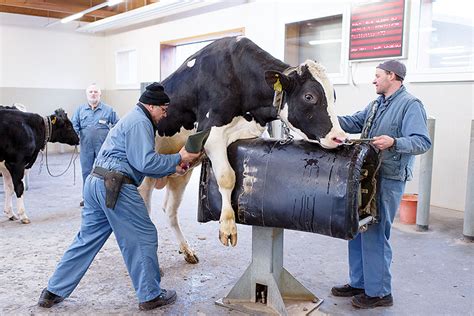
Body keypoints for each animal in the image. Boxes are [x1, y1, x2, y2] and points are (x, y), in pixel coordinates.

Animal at [138, 35, 348, 262]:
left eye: (334, 96)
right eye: (309, 96)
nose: (340, 137)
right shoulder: (211, 133)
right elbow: (226, 177)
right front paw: (228, 227)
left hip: (181, 174)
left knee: (169, 210)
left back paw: (186, 250)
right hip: (146, 176)